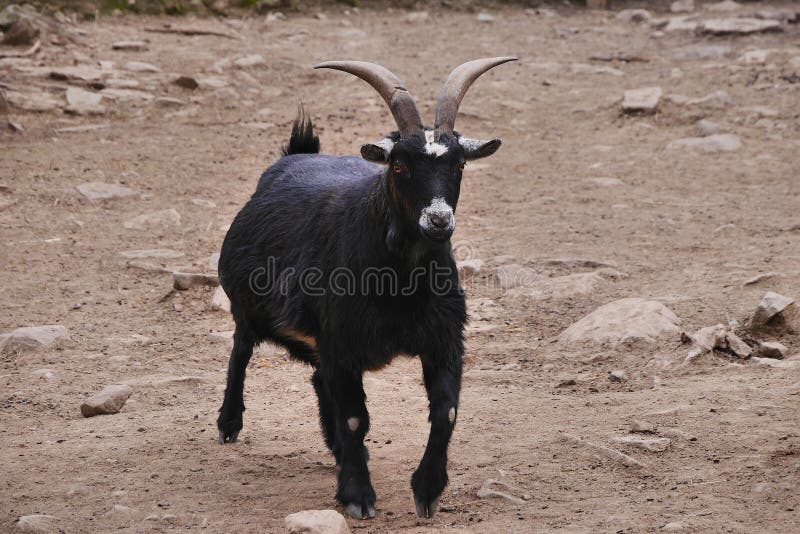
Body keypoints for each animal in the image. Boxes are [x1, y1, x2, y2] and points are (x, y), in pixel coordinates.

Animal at [219, 57, 520, 520]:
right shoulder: (341, 343)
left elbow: (446, 411)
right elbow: (356, 418)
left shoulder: (444, 340)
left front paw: (427, 489)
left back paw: (335, 448)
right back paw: (229, 423)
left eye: (459, 165)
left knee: (317, 379)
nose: (438, 221)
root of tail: (295, 155)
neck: (401, 285)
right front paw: (358, 496)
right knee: (241, 348)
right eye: (398, 165)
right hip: (250, 309)